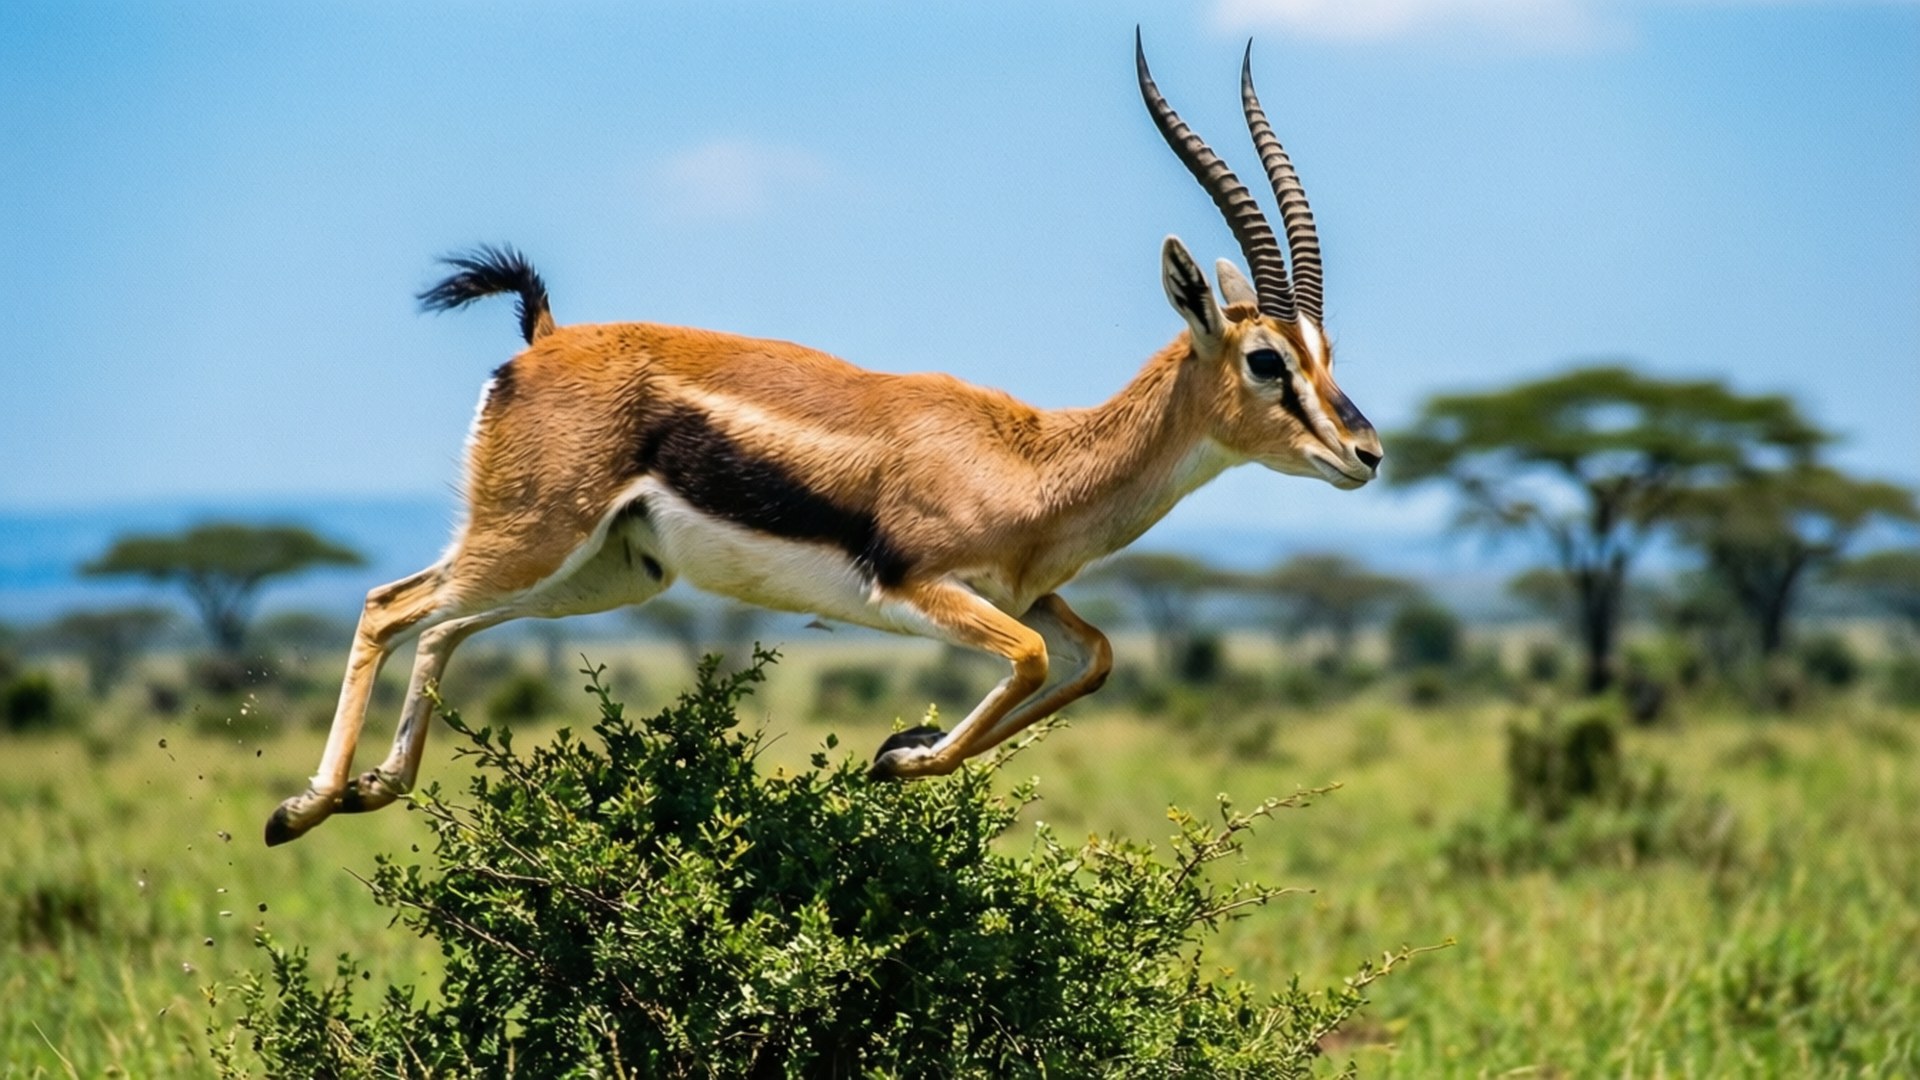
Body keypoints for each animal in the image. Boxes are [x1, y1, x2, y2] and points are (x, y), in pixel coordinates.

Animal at [265, 37, 1382, 846]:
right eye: (1266, 361)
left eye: (1327, 351)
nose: (1365, 453)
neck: (1033, 461)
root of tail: (542, 337)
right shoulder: (922, 589)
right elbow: (1031, 661)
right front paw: (901, 755)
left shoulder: (1022, 595)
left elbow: (1094, 656)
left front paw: (903, 744)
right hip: (535, 540)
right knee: (389, 606)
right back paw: (302, 808)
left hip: (603, 574)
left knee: (442, 626)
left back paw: (372, 789)